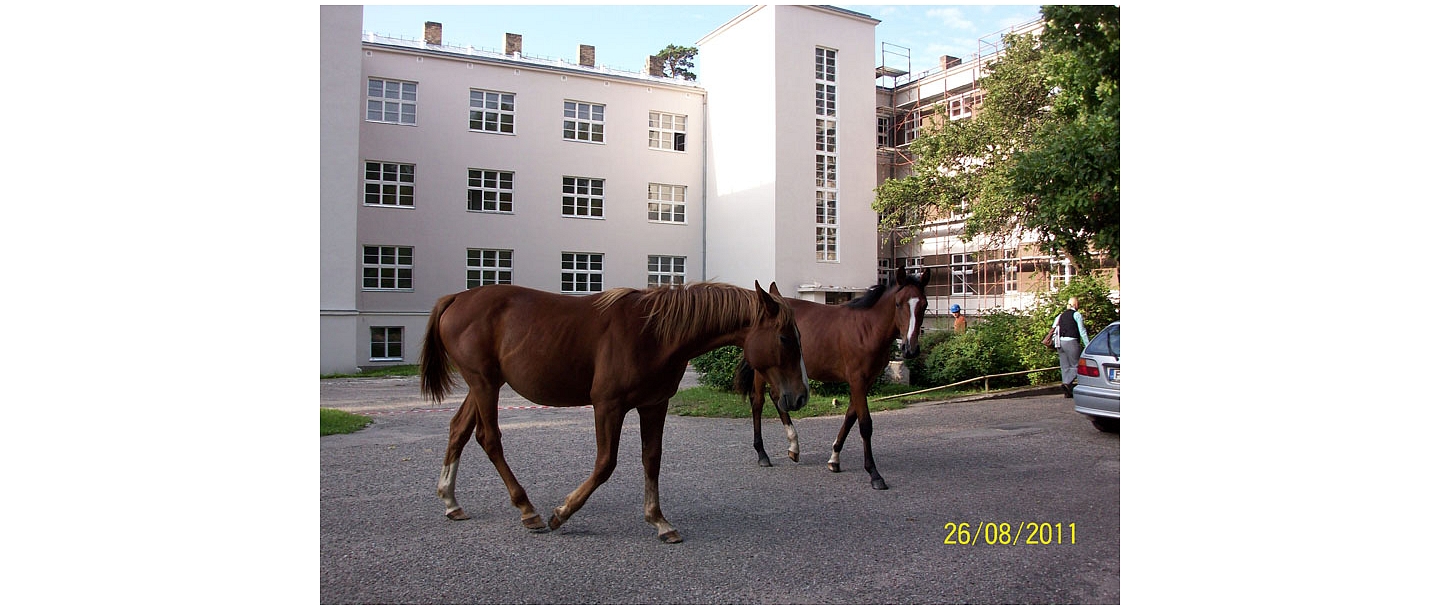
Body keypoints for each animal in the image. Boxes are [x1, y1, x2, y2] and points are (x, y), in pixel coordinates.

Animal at [420, 281, 809, 543]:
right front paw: (562, 513)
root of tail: (457, 298)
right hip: (484, 383)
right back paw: (527, 509)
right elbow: (605, 463)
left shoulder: (654, 404)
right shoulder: (608, 405)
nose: (802, 395)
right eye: (785, 338)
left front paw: (658, 520)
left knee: (458, 430)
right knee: (489, 438)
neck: (654, 333)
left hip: (483, 385)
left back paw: (450, 500)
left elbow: (652, 459)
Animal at [738, 268, 930, 490]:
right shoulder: (857, 380)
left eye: (924, 305)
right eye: (898, 303)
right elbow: (865, 425)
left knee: (777, 398)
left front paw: (834, 459)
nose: (910, 349)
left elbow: (850, 417)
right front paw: (874, 474)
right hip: (763, 370)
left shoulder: (865, 382)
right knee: (758, 402)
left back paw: (794, 447)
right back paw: (763, 454)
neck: (867, 329)